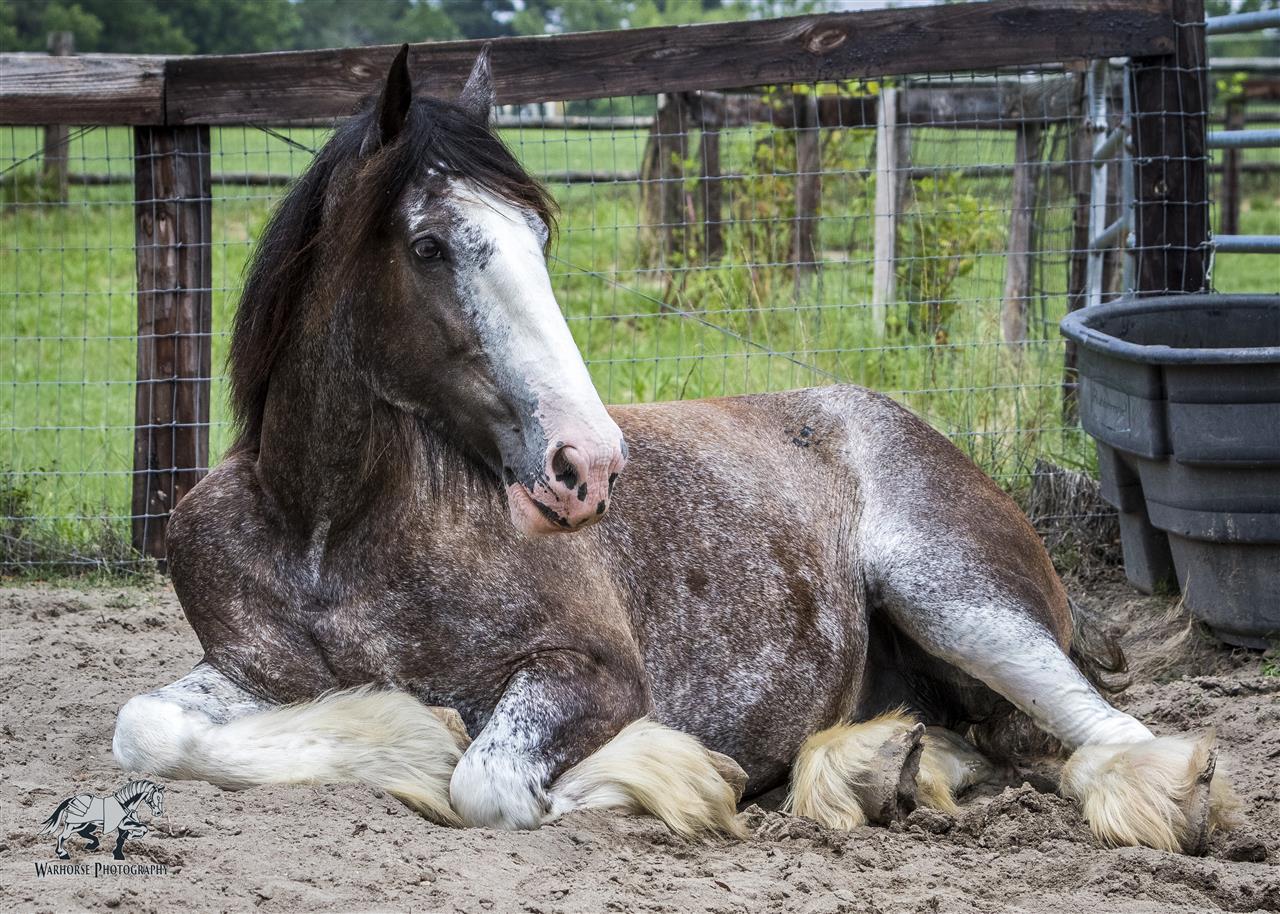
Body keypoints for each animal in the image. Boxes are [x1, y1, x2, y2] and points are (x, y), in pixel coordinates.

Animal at [111, 45, 1237, 854]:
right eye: (428, 246)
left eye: (538, 237)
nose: (587, 464)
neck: (327, 526)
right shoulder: (245, 668)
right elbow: (145, 728)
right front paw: (396, 731)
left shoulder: (596, 674)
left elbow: (490, 781)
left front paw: (670, 776)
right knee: (993, 746)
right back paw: (874, 769)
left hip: (956, 598)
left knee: (1104, 737)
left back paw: (1164, 798)